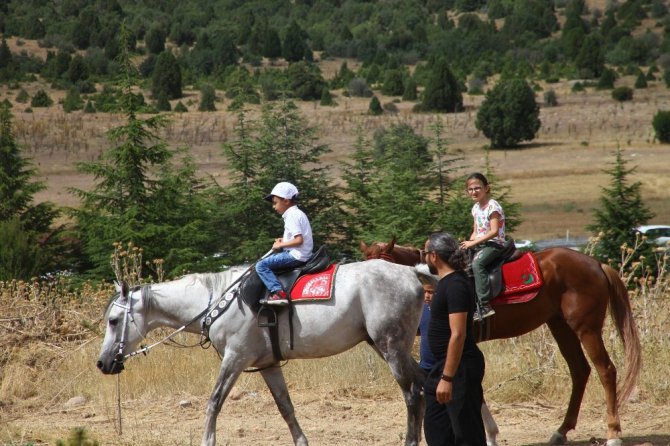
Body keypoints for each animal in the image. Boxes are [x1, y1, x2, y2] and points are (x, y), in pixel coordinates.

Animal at [97, 260, 428, 446]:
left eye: (113, 321)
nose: (102, 363)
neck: (215, 301)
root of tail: (410, 272)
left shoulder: (235, 359)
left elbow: (213, 403)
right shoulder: (269, 365)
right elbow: (286, 408)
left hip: (390, 346)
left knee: (412, 393)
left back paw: (411, 440)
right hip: (390, 347)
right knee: (425, 384)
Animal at [362, 239, 644, 444]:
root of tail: (596, 264)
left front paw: (489, 434)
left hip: (586, 328)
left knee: (606, 370)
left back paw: (613, 433)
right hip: (560, 326)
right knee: (580, 371)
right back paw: (561, 431)